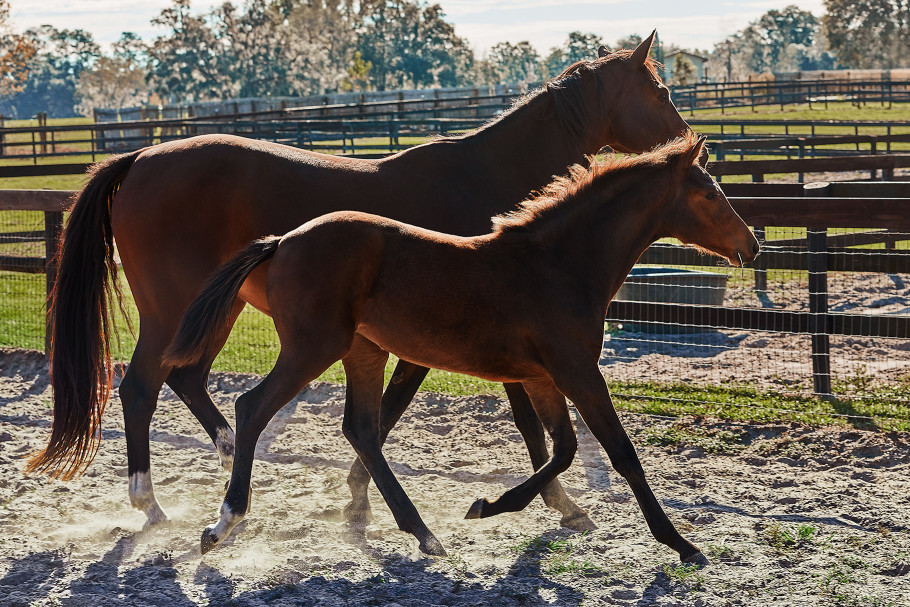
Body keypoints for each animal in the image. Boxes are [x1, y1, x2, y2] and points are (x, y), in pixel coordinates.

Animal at [30, 32, 692, 528]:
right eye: (658, 91)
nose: (691, 146)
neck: (484, 178)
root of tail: (140, 158)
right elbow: (467, 414)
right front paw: (554, 502)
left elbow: (421, 413)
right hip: (173, 309)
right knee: (141, 387)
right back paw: (152, 502)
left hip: (214, 310)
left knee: (187, 379)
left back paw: (228, 457)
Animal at [164, 135, 764, 564]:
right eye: (710, 192)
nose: (752, 244)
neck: (558, 264)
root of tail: (283, 241)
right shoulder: (577, 370)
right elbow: (620, 452)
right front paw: (682, 544)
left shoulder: (541, 376)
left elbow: (563, 448)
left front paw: (491, 505)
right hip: (314, 346)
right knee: (253, 408)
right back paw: (222, 525)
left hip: (363, 351)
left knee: (361, 430)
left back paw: (423, 533)